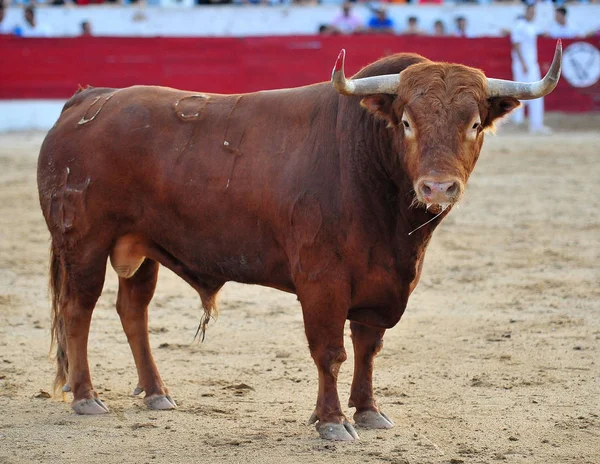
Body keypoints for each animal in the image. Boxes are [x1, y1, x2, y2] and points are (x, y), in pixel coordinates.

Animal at [37, 41, 564, 440]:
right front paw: (332, 421)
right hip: (84, 243)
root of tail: (88, 100)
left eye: (473, 124)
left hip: (140, 247)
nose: (437, 188)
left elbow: (368, 347)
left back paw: (156, 393)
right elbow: (330, 350)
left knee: (133, 310)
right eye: (407, 122)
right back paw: (86, 397)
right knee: (78, 310)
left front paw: (368, 412)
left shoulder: (383, 282)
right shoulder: (322, 279)